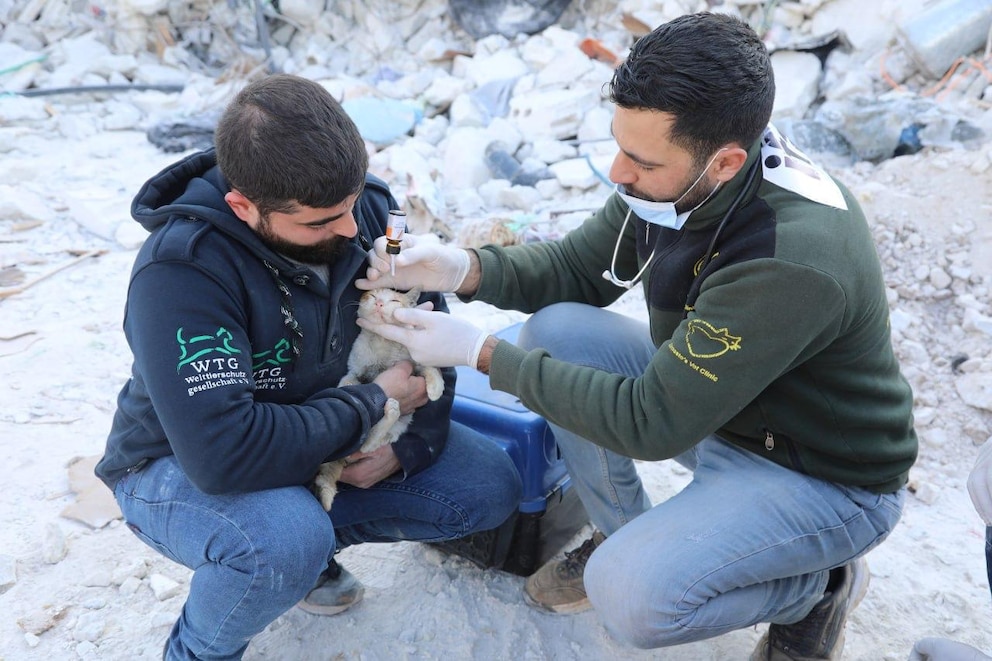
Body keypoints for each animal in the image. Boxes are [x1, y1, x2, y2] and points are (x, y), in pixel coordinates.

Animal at [316, 288, 444, 510]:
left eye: (394, 300)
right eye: (373, 296)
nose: (379, 304)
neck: (381, 341)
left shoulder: (412, 361)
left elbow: (429, 367)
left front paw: (436, 389)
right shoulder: (355, 371)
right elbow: (348, 382)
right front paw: (345, 391)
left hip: (398, 429)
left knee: (368, 444)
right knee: (363, 442)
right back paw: (391, 409)